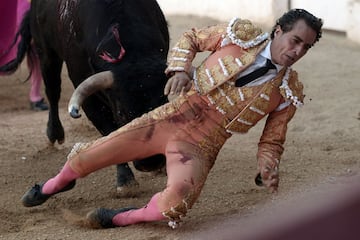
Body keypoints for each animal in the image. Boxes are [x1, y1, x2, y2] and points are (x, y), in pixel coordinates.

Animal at [0, 0, 169, 195]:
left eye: (164, 104)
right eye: (121, 114)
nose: (151, 162)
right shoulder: (88, 95)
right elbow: (109, 132)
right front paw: (125, 180)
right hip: (46, 52)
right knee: (52, 90)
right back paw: (54, 133)